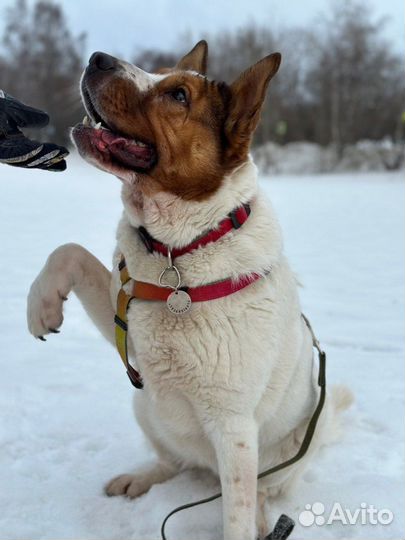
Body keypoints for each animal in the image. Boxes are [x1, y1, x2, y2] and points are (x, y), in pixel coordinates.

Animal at [26, 40, 352, 536]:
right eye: (158, 72)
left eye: (178, 95)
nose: (97, 58)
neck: (178, 251)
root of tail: (207, 469)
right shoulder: (127, 310)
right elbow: (71, 251)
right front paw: (40, 306)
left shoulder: (234, 428)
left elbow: (236, 520)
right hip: (146, 407)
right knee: (174, 462)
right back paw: (140, 477)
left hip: (293, 439)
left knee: (260, 491)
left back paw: (262, 516)